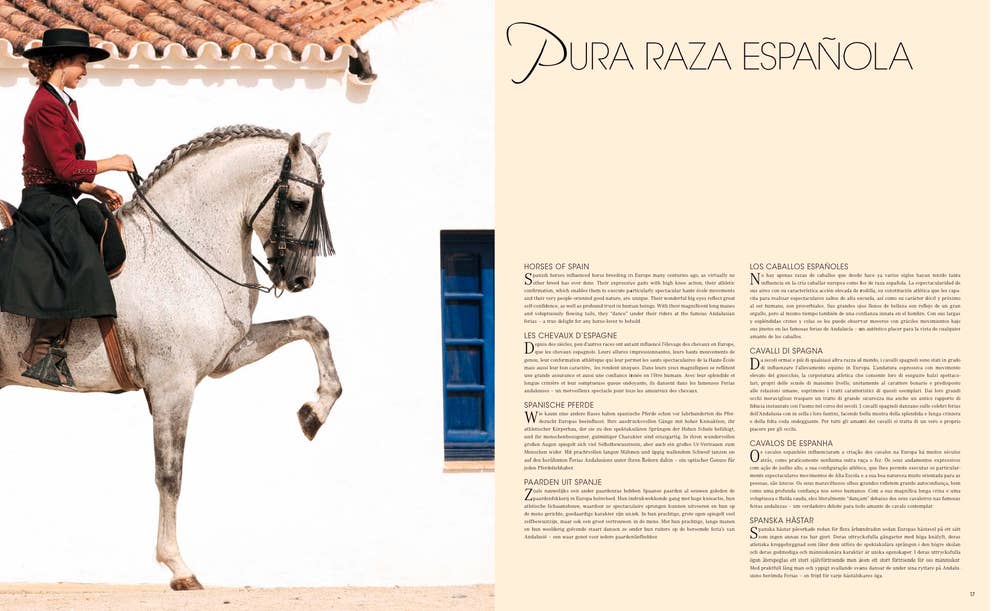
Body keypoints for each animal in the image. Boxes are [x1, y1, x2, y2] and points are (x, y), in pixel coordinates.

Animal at [0, 125, 343, 590]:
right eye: (298, 203)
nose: (301, 278)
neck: (181, 251)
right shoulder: (172, 386)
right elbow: (170, 474)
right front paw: (178, 566)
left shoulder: (226, 357)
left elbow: (313, 327)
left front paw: (314, 412)